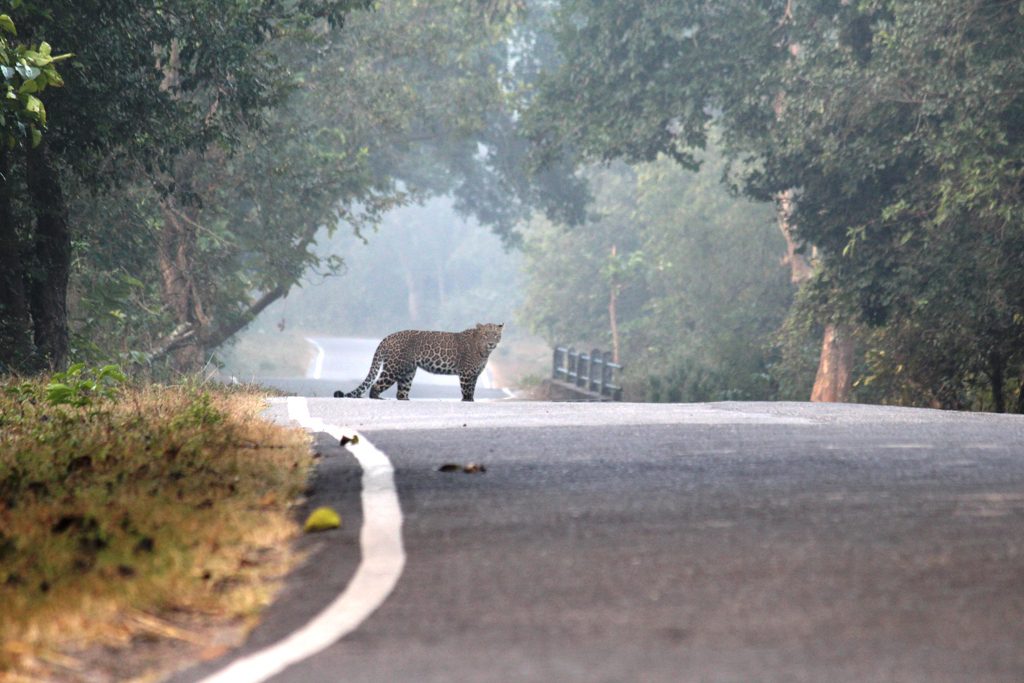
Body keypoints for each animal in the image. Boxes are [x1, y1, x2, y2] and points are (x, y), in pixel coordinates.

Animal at [333, 323, 503, 401]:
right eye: (486, 335)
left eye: (495, 335)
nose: (491, 343)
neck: (484, 351)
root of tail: (388, 337)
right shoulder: (466, 373)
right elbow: (467, 389)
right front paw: (467, 400)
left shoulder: (474, 374)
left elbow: (472, 389)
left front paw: (472, 400)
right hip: (393, 368)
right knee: (376, 385)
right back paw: (378, 397)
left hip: (408, 371)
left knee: (401, 391)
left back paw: (405, 399)